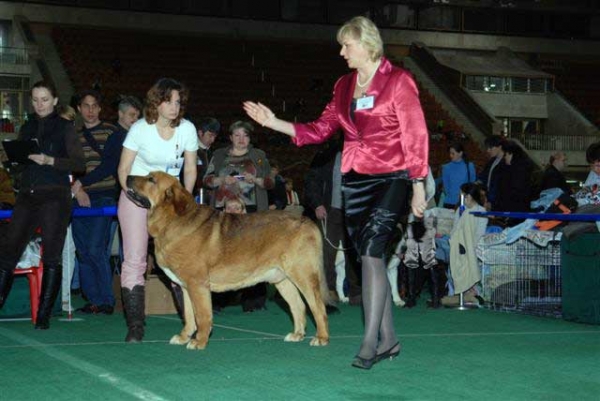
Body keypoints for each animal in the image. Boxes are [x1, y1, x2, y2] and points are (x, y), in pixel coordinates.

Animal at [125, 170, 328, 348]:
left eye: (151, 179)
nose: (127, 176)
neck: (171, 220)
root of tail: (307, 221)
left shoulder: (198, 285)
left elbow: (202, 316)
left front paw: (199, 342)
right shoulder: (185, 286)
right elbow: (189, 317)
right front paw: (184, 338)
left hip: (303, 275)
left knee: (318, 307)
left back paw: (321, 338)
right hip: (282, 280)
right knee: (298, 306)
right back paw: (297, 334)